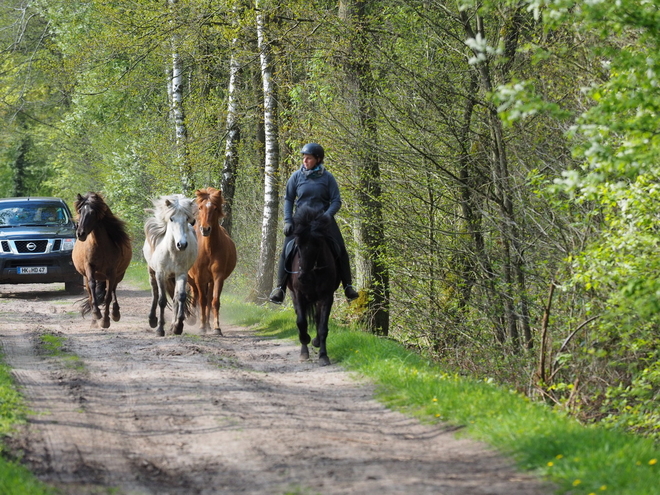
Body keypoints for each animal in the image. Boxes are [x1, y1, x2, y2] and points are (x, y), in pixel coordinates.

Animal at [71, 193, 132, 330]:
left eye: (93, 212)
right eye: (80, 211)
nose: (80, 233)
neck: (100, 245)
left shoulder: (112, 272)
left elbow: (108, 295)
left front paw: (105, 321)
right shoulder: (89, 268)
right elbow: (92, 287)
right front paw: (97, 314)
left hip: (118, 275)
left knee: (113, 289)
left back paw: (115, 313)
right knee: (90, 293)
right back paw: (94, 321)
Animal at [142, 194, 199, 338]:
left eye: (187, 219)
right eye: (171, 219)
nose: (182, 244)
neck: (173, 252)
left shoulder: (181, 274)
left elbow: (180, 297)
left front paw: (178, 327)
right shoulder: (161, 274)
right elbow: (161, 300)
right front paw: (160, 329)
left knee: (174, 298)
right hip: (152, 272)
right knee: (155, 293)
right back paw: (152, 320)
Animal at [187, 187, 236, 338]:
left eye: (215, 208)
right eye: (200, 207)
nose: (205, 229)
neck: (209, 249)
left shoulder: (218, 277)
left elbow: (214, 301)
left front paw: (216, 328)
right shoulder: (199, 278)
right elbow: (202, 301)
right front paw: (201, 327)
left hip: (211, 280)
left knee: (209, 299)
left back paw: (208, 324)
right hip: (192, 279)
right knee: (195, 294)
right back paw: (193, 319)